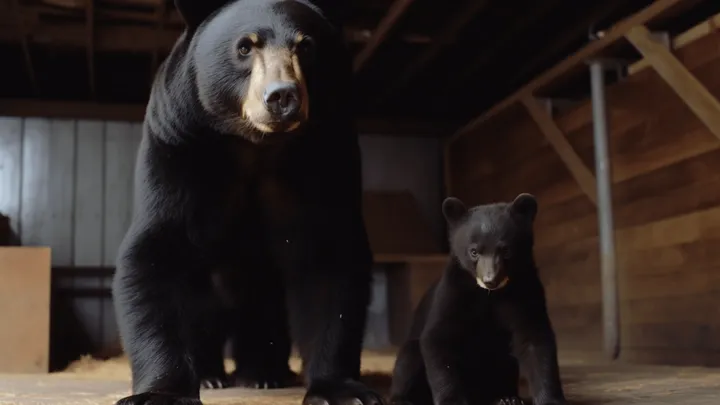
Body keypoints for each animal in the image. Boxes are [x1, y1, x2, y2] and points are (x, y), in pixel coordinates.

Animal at [110, 0, 383, 404]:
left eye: (306, 46)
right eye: (244, 47)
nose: (282, 96)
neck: (255, 146)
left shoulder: (328, 160)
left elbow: (330, 263)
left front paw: (342, 389)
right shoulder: (176, 147)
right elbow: (154, 254)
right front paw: (160, 392)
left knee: (265, 321)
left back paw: (263, 373)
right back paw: (211, 375)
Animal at [388, 194, 567, 405]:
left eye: (506, 250)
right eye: (474, 251)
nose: (490, 280)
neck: (490, 295)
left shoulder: (526, 291)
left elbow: (536, 339)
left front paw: (550, 399)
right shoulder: (453, 293)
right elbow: (438, 339)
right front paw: (452, 400)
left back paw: (506, 397)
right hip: (412, 352)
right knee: (408, 358)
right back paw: (402, 398)